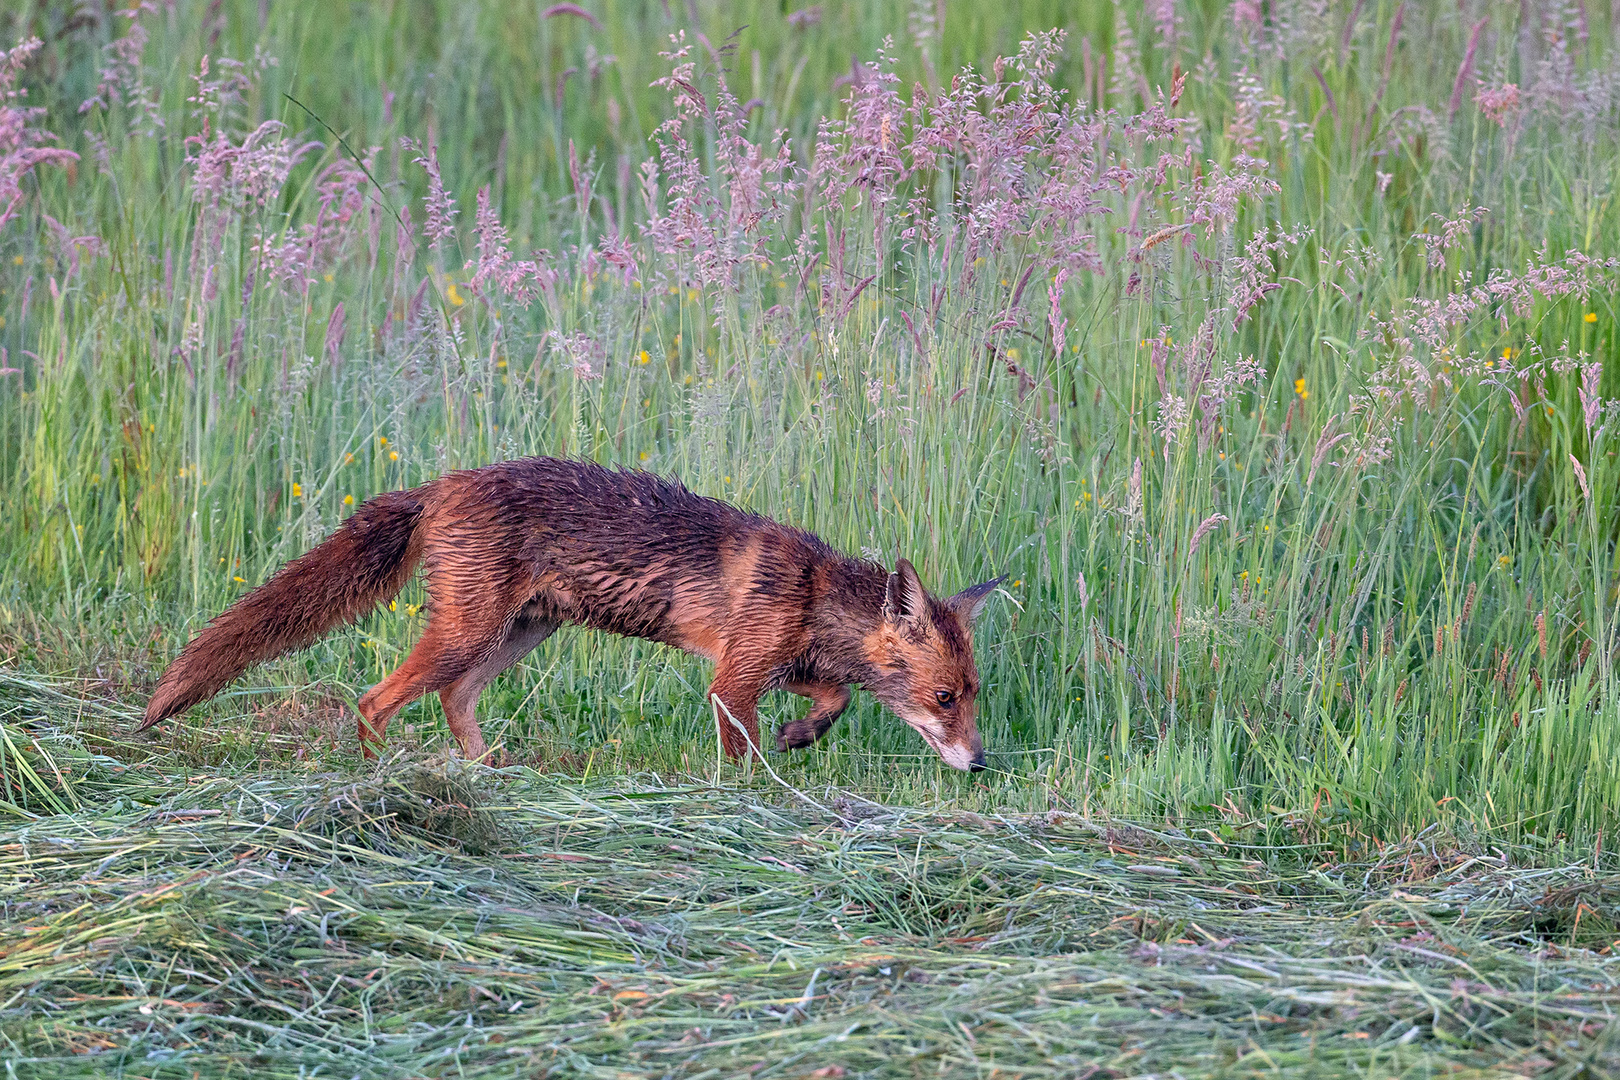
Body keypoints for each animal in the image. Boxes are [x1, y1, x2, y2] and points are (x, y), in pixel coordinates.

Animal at [136, 456, 997, 767]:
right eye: (943, 698)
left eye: (971, 695)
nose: (982, 763)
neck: (814, 593)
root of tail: (439, 485)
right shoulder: (732, 679)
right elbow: (746, 753)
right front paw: (757, 797)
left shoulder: (773, 664)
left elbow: (838, 695)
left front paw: (801, 735)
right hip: (467, 633)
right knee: (375, 700)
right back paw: (382, 781)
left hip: (518, 633)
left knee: (452, 700)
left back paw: (485, 773)